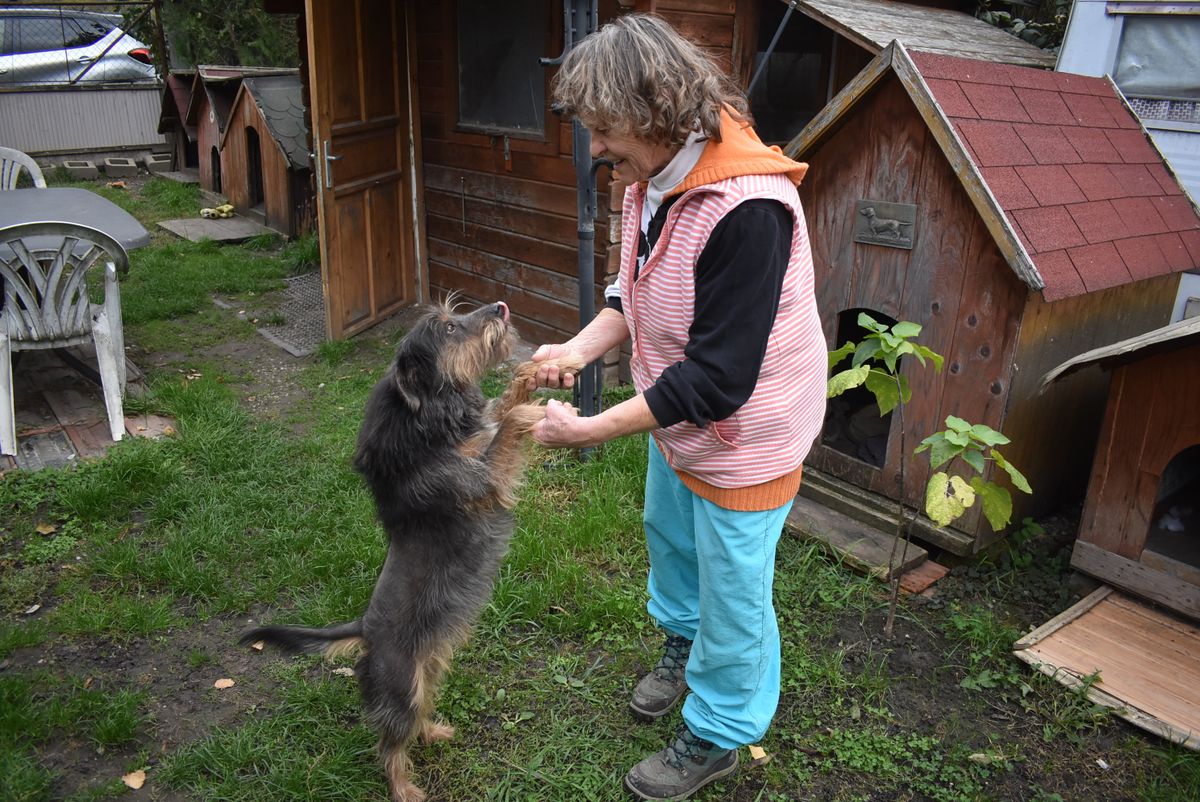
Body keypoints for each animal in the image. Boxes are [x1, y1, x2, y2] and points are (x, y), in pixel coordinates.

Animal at [236, 298, 583, 802]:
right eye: (448, 328)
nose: (500, 306)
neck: (427, 428)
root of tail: (364, 629)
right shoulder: (486, 480)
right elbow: (505, 428)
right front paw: (536, 414)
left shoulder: (481, 438)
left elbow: (502, 403)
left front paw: (553, 366)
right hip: (402, 688)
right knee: (388, 745)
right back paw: (404, 788)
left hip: (430, 669)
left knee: (415, 718)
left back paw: (433, 732)